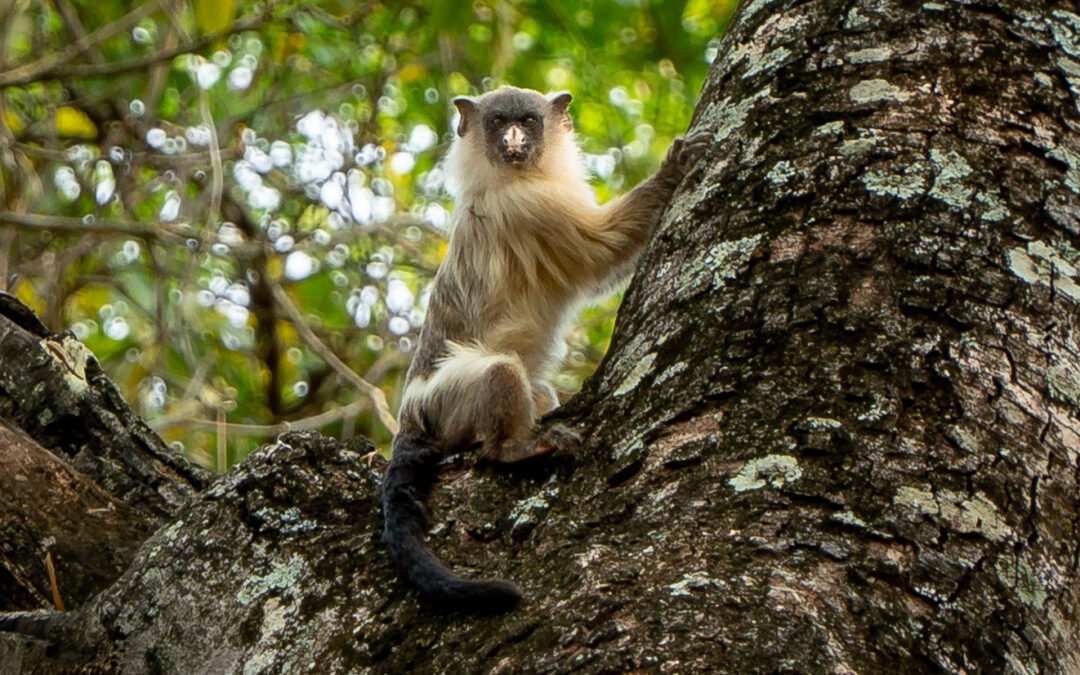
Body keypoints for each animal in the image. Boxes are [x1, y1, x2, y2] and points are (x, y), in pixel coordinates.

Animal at [381, 85, 708, 612]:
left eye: (529, 122)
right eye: (499, 123)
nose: (514, 139)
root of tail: (411, 412)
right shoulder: (526, 204)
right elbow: (602, 249)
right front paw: (672, 170)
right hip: (444, 404)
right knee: (499, 374)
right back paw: (512, 449)